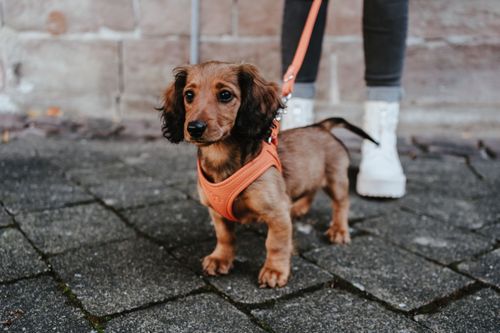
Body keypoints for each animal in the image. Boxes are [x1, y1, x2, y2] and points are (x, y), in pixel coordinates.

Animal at [160, 61, 376, 286]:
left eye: (225, 95)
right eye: (189, 95)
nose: (194, 128)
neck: (221, 157)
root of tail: (322, 126)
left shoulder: (277, 213)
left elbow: (275, 244)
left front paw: (274, 271)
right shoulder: (216, 211)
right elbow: (224, 236)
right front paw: (221, 259)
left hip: (336, 178)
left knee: (341, 204)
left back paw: (339, 230)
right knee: (311, 190)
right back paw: (299, 208)